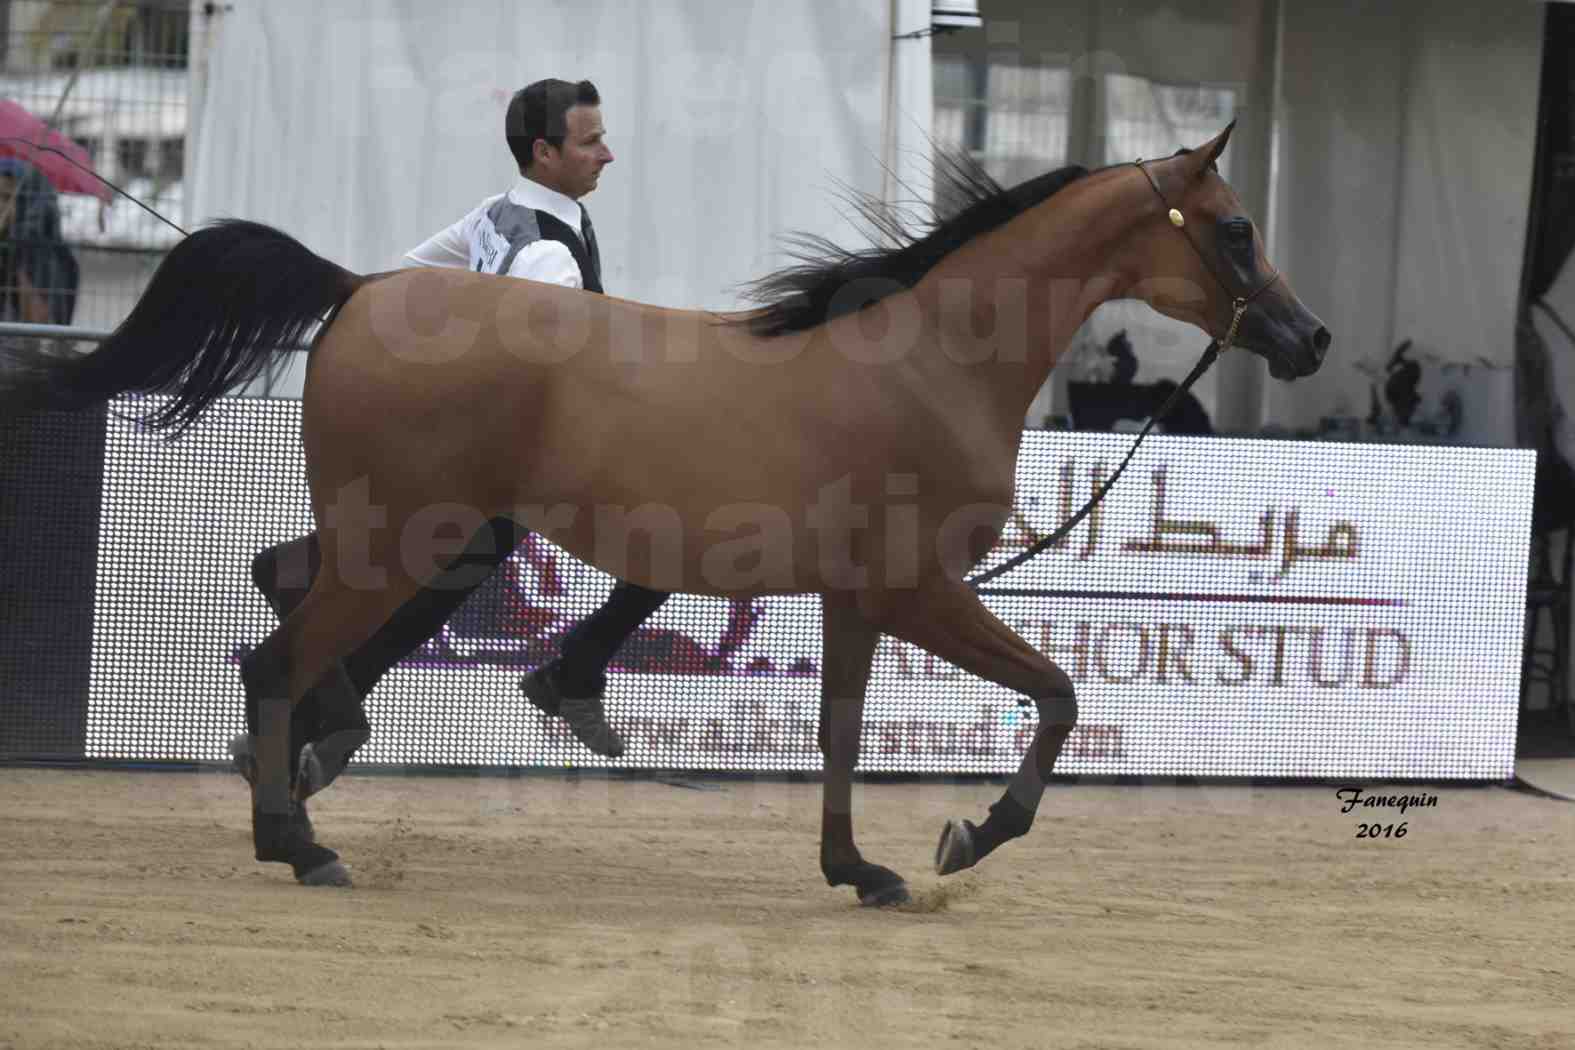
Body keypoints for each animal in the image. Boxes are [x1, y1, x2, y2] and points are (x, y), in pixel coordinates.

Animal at [0, 125, 1329, 906]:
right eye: (1235, 227)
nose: (1309, 337)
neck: (929, 360)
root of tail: (363, 289)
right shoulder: (923, 591)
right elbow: (1056, 696)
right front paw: (968, 835)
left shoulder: (857, 599)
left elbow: (840, 737)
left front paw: (861, 869)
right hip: (400, 540)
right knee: (277, 657)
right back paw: (300, 841)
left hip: (388, 535)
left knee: (281, 601)